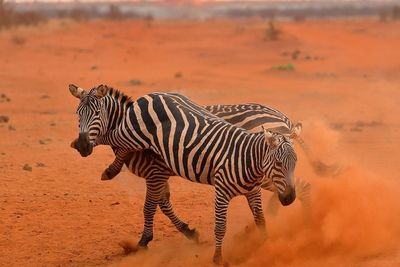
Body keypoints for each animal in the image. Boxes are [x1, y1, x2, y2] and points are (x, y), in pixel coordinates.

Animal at [69, 85, 300, 264]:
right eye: (77, 114)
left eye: (97, 114)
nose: (82, 146)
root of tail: (283, 118)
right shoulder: (160, 175)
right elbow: (163, 203)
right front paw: (189, 232)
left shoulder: (155, 172)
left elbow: (151, 206)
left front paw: (143, 242)